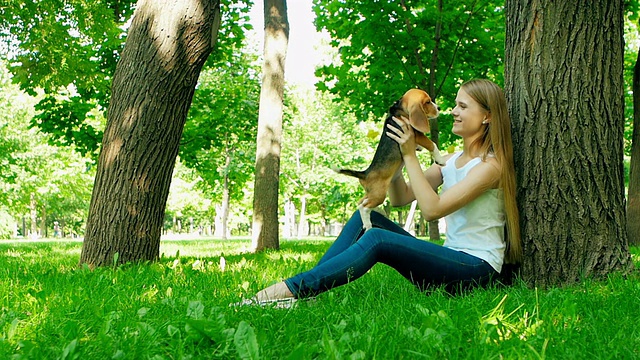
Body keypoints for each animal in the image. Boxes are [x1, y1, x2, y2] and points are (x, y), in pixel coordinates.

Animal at [332, 87, 442, 231]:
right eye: (428, 102)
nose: (439, 108)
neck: (400, 110)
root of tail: (364, 173)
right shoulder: (417, 134)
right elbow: (432, 144)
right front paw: (440, 159)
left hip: (371, 193)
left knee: (360, 202)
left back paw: (367, 224)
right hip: (379, 194)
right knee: (364, 207)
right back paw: (369, 225)